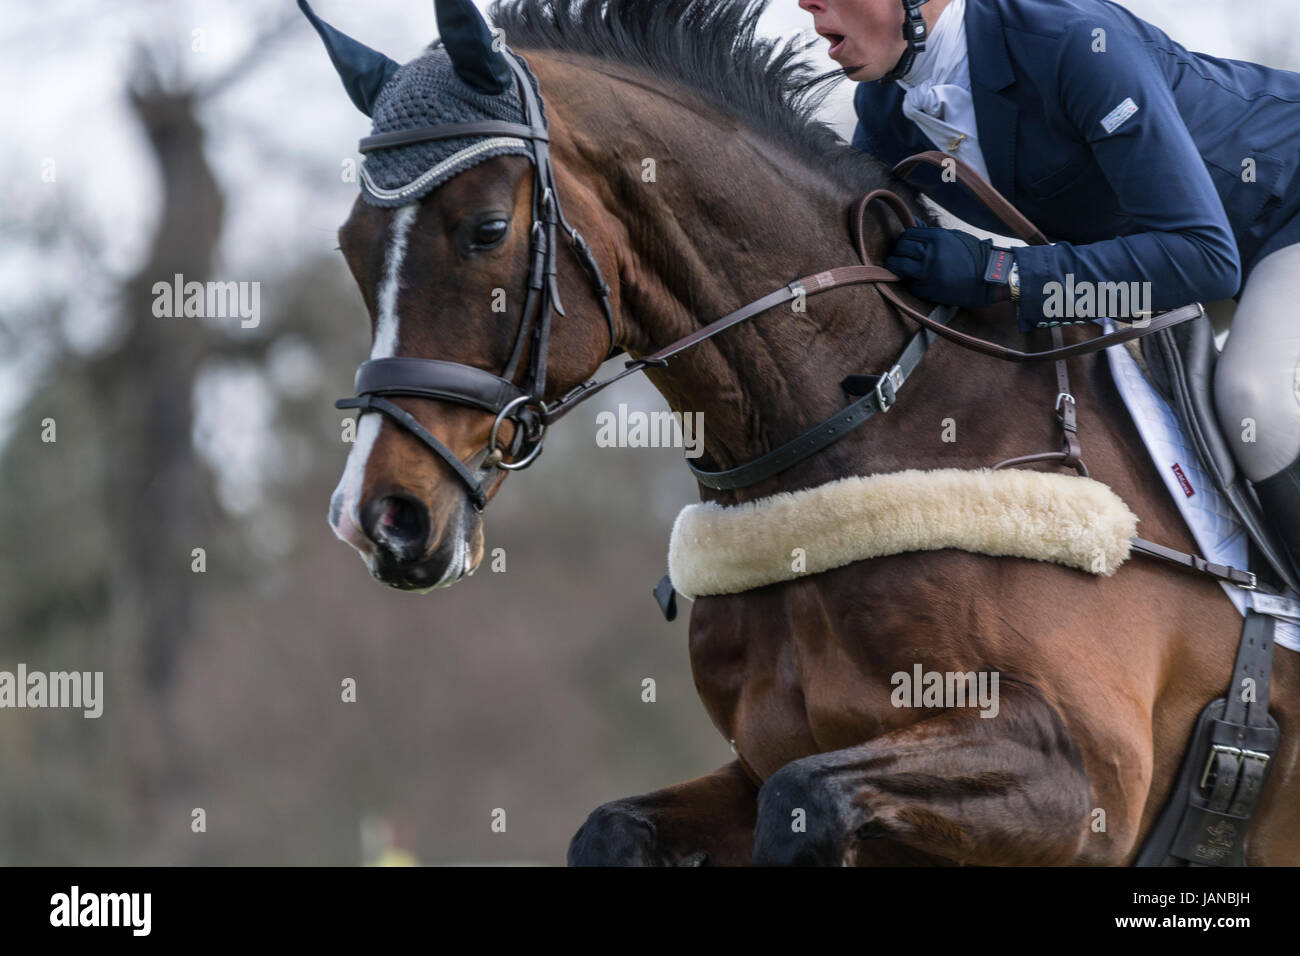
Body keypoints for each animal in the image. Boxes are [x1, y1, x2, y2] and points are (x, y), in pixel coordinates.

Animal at [317, 0, 1300, 868]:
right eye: (350, 248)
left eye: (485, 231)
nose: (382, 519)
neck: (859, 432)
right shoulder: (764, 760)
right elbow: (620, 825)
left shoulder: (1083, 782)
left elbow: (807, 804)